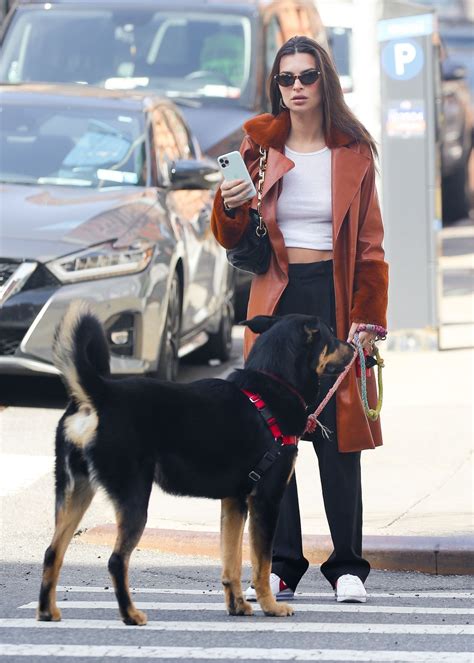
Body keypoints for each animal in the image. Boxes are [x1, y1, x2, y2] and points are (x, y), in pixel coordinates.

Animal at [37, 304, 354, 624]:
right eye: (331, 334)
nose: (353, 347)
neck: (273, 385)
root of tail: (100, 393)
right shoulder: (265, 500)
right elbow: (261, 563)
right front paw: (270, 606)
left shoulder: (234, 501)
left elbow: (231, 561)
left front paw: (237, 605)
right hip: (133, 497)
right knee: (116, 561)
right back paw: (130, 614)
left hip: (75, 493)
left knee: (52, 552)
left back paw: (47, 611)